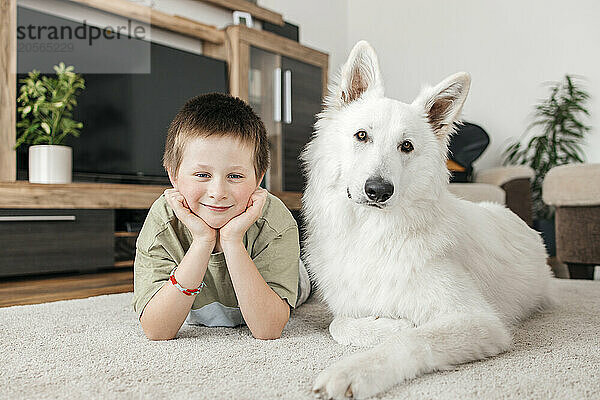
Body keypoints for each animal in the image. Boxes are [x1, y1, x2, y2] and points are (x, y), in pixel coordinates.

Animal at [300, 41, 556, 400]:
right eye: (362, 136)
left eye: (406, 146)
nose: (378, 190)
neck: (372, 234)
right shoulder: (347, 308)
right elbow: (340, 323)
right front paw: (387, 323)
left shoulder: (479, 320)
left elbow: (412, 338)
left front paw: (355, 370)